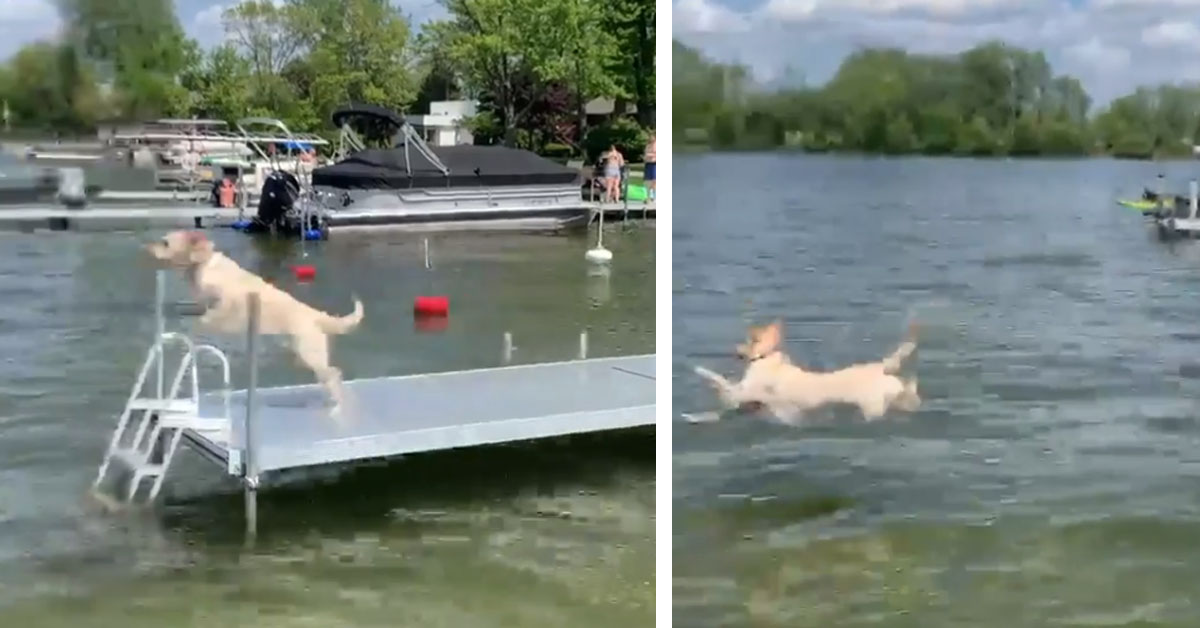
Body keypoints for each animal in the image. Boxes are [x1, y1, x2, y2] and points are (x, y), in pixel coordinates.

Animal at [145, 230, 360, 417]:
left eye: (165, 243)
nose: (148, 247)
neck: (203, 264)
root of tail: (315, 314)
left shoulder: (225, 303)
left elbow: (205, 319)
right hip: (304, 356)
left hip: (310, 355)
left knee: (334, 374)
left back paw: (337, 407)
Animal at [696, 319, 916, 422]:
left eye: (748, 340)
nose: (733, 351)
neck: (768, 358)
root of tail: (881, 367)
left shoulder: (742, 391)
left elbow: (722, 383)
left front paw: (702, 371)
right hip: (891, 394)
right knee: (907, 391)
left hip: (872, 406)